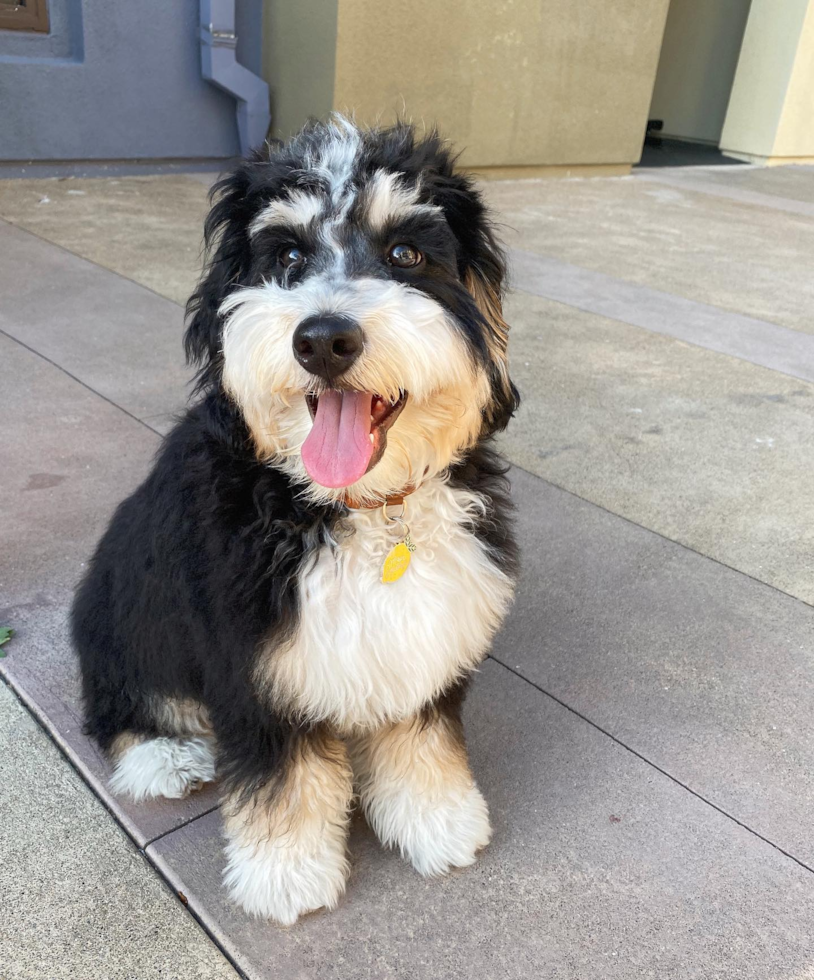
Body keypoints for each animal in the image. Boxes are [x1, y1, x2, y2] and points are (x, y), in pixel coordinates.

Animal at [73, 118, 520, 924]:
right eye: (285, 256)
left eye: (405, 254)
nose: (323, 340)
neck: (360, 510)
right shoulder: (253, 664)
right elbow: (284, 776)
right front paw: (287, 874)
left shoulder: (424, 635)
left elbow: (420, 736)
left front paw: (435, 819)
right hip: (122, 614)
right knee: (120, 701)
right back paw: (163, 755)